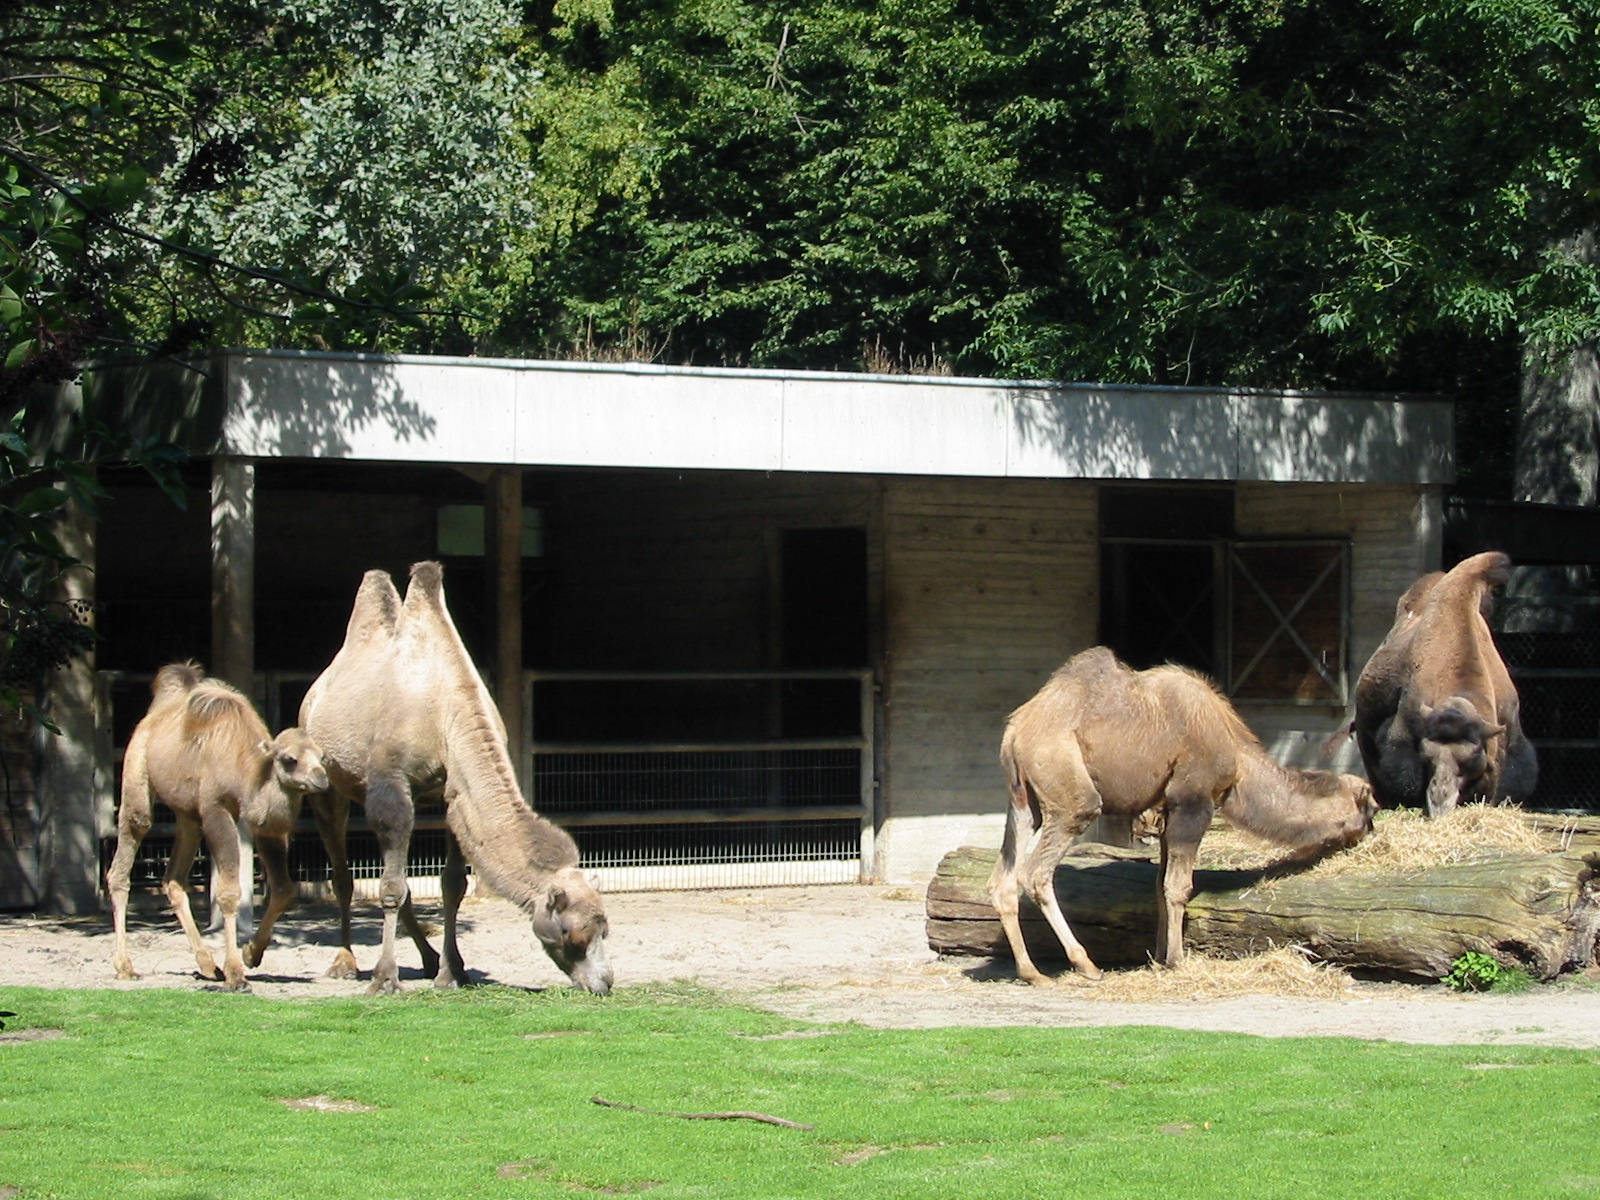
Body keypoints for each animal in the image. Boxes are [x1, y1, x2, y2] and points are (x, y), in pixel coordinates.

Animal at [106, 662, 329, 990]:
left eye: (322, 756)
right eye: (290, 759)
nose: (321, 779)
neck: (246, 768)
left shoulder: (264, 826)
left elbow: (284, 889)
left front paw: (252, 953)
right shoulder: (215, 810)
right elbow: (228, 892)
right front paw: (236, 974)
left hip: (188, 815)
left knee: (173, 879)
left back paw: (208, 964)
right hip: (138, 776)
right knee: (128, 846)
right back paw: (125, 966)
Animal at [300, 561, 612, 996]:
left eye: (605, 929)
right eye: (572, 934)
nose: (604, 982)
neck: (444, 712)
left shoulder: (455, 794)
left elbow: (451, 885)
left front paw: (452, 972)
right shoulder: (392, 786)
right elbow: (391, 887)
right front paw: (385, 979)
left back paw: (428, 959)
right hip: (326, 786)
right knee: (344, 875)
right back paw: (345, 962)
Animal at [988, 647, 1376, 985]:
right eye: (1370, 809)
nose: (1369, 833)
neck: (1238, 760)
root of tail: (1014, 733)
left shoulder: (1165, 809)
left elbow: (1160, 886)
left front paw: (1159, 957)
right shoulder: (1193, 800)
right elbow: (1179, 887)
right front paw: (1177, 960)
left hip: (1024, 801)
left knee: (1002, 879)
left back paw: (1032, 973)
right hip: (1072, 796)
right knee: (1036, 872)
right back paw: (1086, 965)